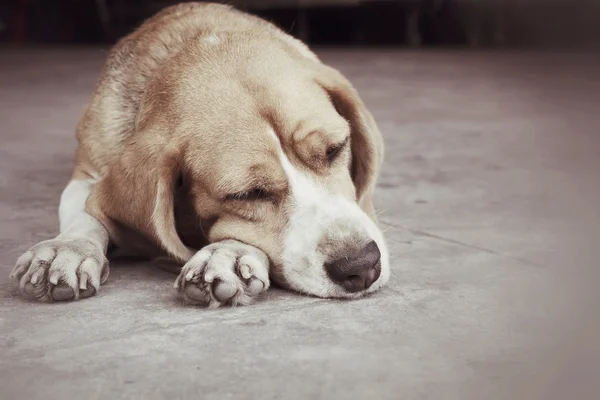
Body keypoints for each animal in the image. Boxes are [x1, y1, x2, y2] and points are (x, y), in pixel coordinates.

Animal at [8, 2, 390, 306]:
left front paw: (227, 254)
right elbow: (86, 214)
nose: (361, 266)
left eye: (335, 149)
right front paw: (67, 249)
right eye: (247, 194)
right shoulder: (88, 173)